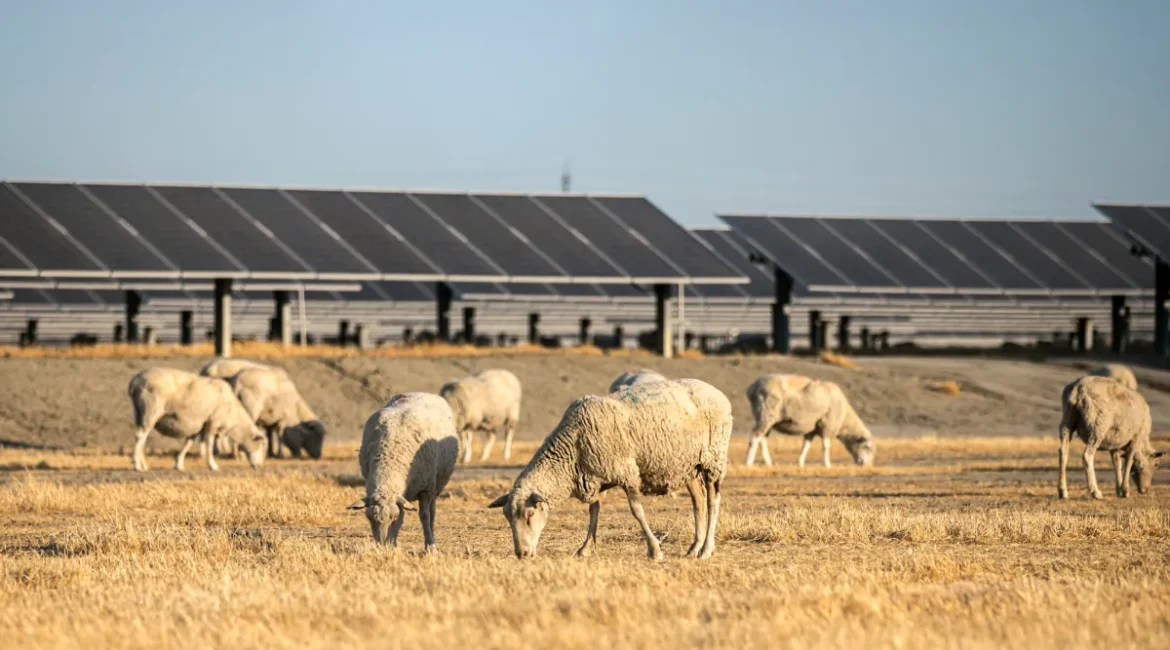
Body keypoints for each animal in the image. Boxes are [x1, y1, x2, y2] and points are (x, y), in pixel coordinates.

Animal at [128, 368, 266, 472]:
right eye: (260, 445)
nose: (259, 466)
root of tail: (135, 382)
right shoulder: (212, 422)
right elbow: (209, 444)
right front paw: (212, 465)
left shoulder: (199, 425)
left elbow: (188, 443)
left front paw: (179, 464)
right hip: (151, 411)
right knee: (140, 436)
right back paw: (137, 465)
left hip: (139, 413)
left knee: (142, 438)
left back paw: (143, 465)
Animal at [346, 392, 460, 552]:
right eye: (369, 518)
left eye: (392, 517)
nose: (382, 545)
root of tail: (420, 392)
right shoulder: (400, 496)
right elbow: (402, 517)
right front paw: (392, 544)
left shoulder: (425, 489)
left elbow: (424, 516)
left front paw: (430, 547)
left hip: (435, 485)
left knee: (432, 512)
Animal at [488, 378, 733, 561]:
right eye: (507, 517)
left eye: (530, 514)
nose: (522, 554)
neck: (572, 449)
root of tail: (718, 393)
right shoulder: (593, 477)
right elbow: (594, 511)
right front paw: (585, 548)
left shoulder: (627, 472)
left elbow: (637, 512)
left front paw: (655, 550)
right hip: (689, 464)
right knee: (698, 502)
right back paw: (694, 547)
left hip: (714, 458)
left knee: (713, 502)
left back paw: (706, 550)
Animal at [745, 373, 876, 468]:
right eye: (867, 447)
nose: (867, 465)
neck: (844, 419)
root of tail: (752, 388)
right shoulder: (826, 424)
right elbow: (826, 446)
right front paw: (827, 465)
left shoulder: (813, 428)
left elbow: (806, 445)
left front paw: (801, 462)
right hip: (766, 414)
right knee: (755, 437)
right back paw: (748, 462)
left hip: (768, 419)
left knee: (762, 439)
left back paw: (768, 463)